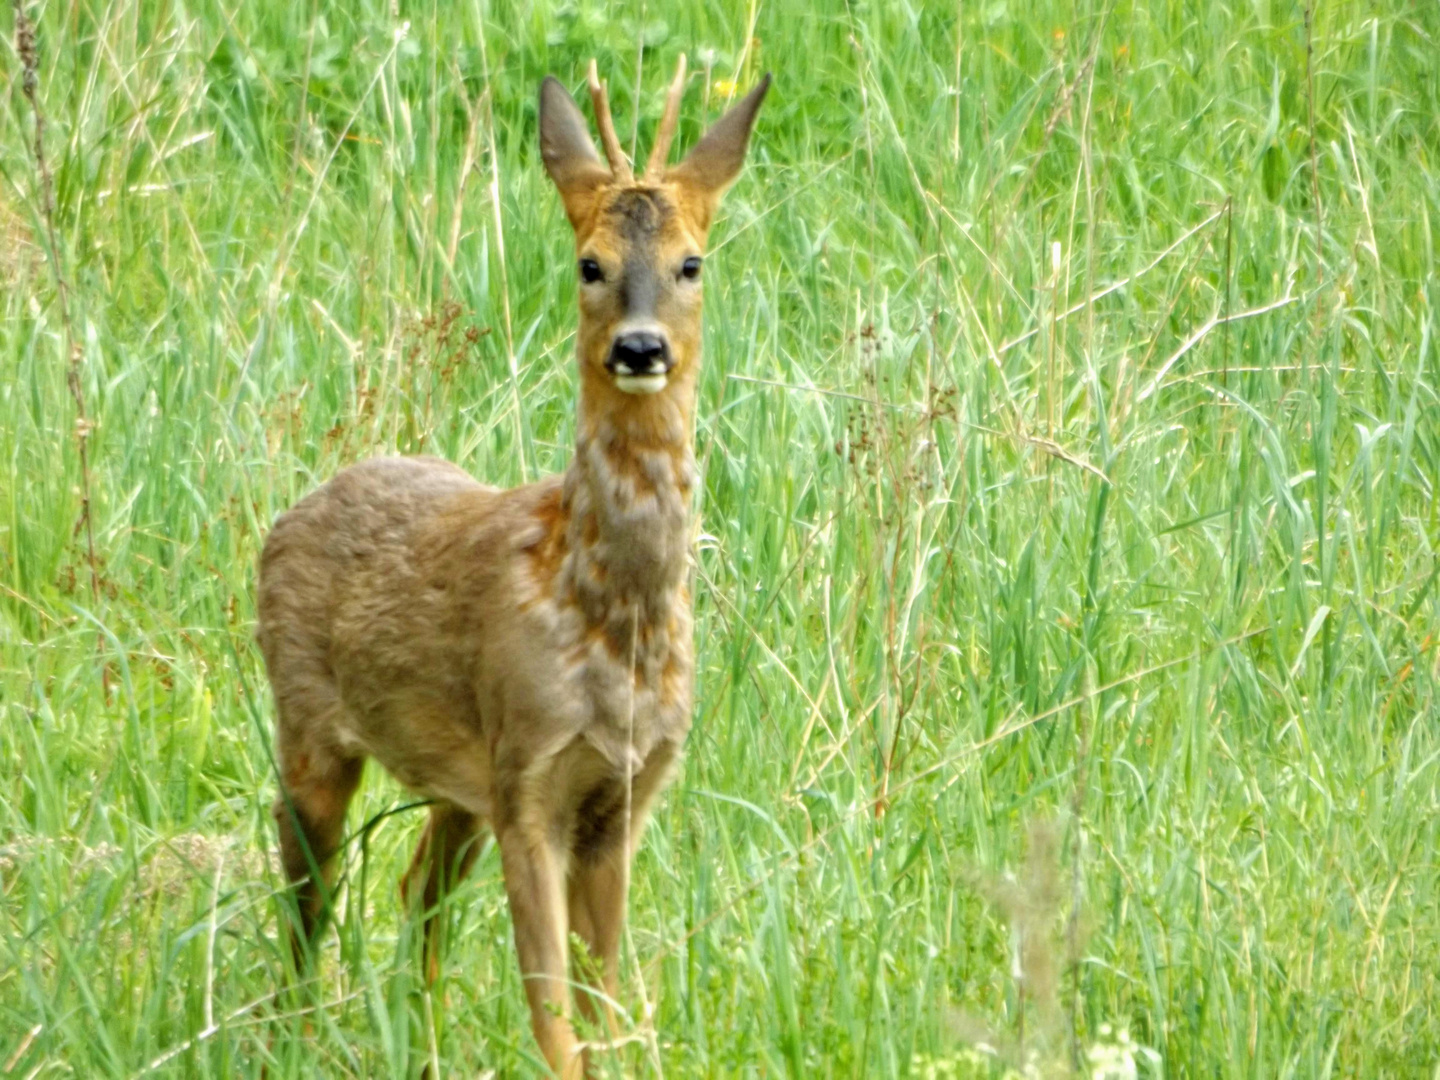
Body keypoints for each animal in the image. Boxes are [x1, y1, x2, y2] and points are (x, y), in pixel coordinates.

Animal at [259, 61, 777, 1080]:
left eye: (692, 262)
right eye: (591, 264)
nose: (640, 348)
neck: (609, 616)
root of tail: (292, 513)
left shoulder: (623, 795)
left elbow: (608, 1006)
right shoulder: (530, 773)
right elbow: (555, 1017)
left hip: (460, 782)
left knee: (415, 889)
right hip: (311, 724)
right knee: (307, 895)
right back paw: (294, 1037)